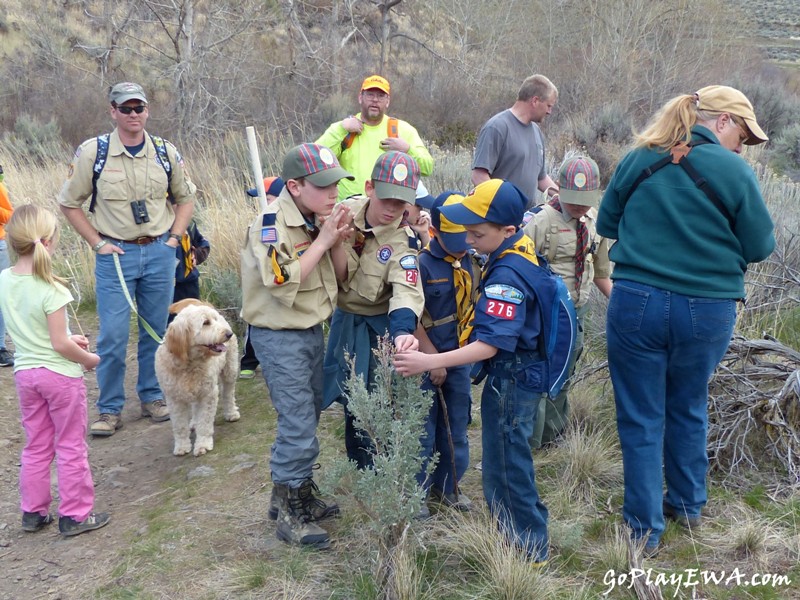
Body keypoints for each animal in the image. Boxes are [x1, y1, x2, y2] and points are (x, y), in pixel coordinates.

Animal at [154, 298, 239, 458]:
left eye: (214, 320)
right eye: (205, 322)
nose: (228, 334)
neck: (189, 364)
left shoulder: (208, 394)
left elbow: (204, 422)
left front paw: (203, 444)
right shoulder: (174, 399)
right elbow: (179, 426)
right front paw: (181, 446)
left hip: (229, 370)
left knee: (228, 394)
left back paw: (231, 413)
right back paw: (193, 422)